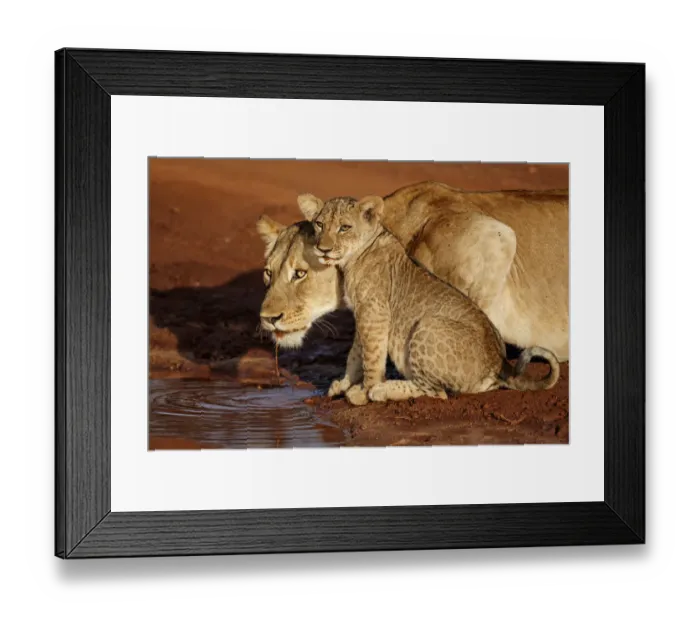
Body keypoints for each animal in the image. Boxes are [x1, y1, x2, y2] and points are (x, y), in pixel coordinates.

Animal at [304, 195, 560, 405]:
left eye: (344, 228)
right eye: (320, 224)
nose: (323, 249)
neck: (352, 259)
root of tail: (499, 364)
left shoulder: (374, 313)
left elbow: (372, 357)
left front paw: (364, 392)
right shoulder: (364, 314)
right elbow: (357, 353)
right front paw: (345, 384)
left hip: (427, 324)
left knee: (437, 392)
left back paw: (382, 390)